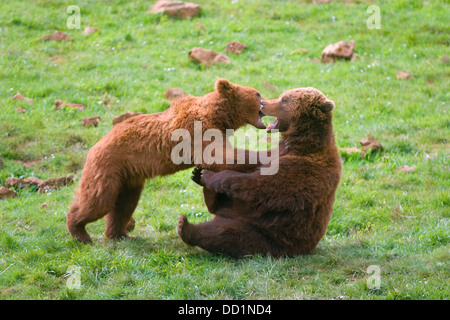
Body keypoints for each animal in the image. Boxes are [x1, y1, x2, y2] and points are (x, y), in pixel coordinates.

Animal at [65, 79, 266, 242]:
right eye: (257, 93)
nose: (265, 101)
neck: (219, 115)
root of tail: (94, 147)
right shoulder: (198, 130)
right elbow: (220, 156)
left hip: (128, 177)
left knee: (124, 205)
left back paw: (120, 235)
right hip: (108, 166)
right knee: (99, 201)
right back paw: (79, 231)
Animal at [178, 87, 342, 258]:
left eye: (284, 100)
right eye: (282, 96)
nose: (263, 103)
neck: (302, 143)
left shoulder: (303, 169)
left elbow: (262, 185)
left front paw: (210, 175)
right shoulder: (277, 152)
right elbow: (251, 159)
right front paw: (202, 171)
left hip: (270, 237)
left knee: (228, 234)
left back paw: (185, 226)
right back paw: (201, 183)